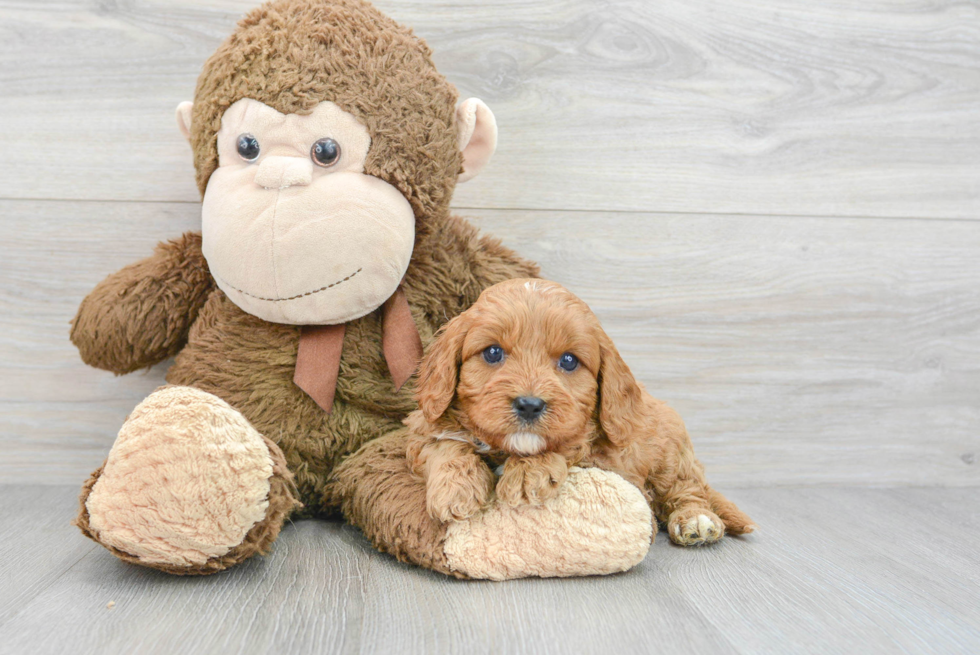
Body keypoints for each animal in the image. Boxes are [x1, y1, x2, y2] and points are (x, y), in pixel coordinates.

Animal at [402, 280, 756, 544]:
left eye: (570, 361)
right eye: (492, 352)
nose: (529, 404)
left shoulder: (610, 460)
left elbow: (571, 443)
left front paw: (528, 473)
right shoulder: (421, 429)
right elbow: (444, 444)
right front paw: (454, 489)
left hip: (672, 457)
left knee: (687, 491)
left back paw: (695, 520)